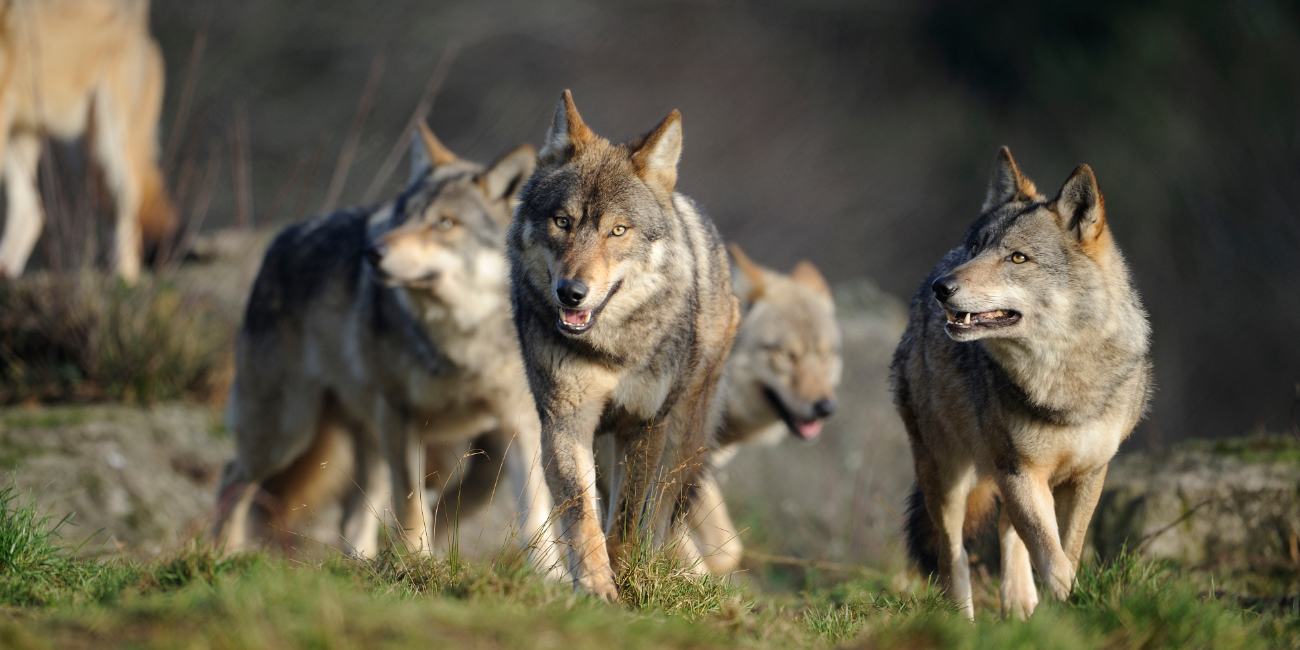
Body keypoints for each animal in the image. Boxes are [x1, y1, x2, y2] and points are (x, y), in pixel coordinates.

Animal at [214, 122, 559, 574]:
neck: (463, 340)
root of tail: (280, 238)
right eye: (403, 217)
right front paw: (417, 560)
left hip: (370, 441)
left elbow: (528, 512)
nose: (372, 252)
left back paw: (359, 565)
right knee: (232, 476)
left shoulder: (516, 425)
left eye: (444, 223)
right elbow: (411, 502)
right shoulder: (402, 415)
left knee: (354, 515)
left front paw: (551, 579)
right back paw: (224, 554)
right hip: (289, 434)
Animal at [506, 91, 743, 598]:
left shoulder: (643, 423)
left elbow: (631, 516)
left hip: (683, 435)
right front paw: (595, 585)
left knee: (666, 508)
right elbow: (581, 514)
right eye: (563, 221)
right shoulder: (566, 421)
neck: (611, 350)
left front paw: (626, 575)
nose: (571, 293)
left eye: (618, 230)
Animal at [889, 147, 1154, 618]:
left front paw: (1065, 610)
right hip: (948, 477)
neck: (1064, 379)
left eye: (1017, 258)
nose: (942, 288)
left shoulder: (1086, 475)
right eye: (978, 249)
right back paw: (966, 621)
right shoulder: (1020, 471)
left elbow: (1066, 549)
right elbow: (1052, 556)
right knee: (953, 555)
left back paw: (1020, 607)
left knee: (1008, 529)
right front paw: (1068, 601)